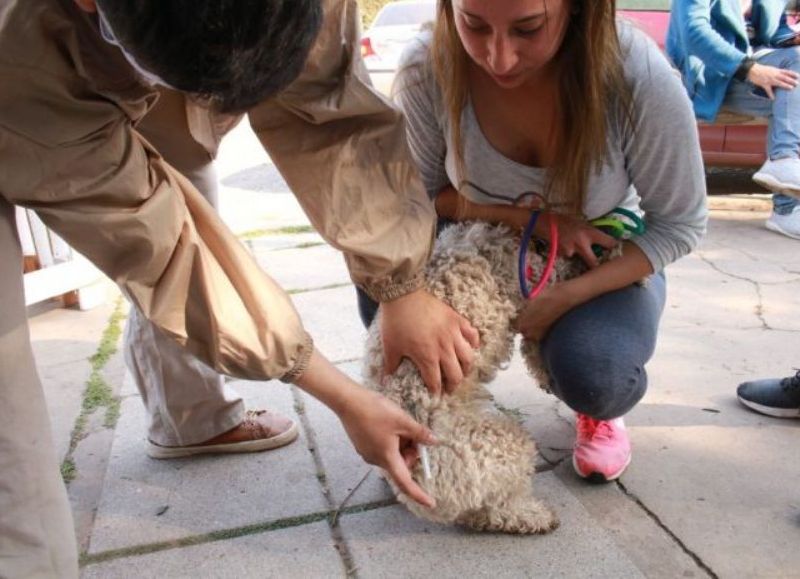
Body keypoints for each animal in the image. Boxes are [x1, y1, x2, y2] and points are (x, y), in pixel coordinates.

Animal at [362, 221, 608, 536]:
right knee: (496, 507)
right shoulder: (531, 306)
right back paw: (533, 516)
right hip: (504, 445)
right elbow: (534, 347)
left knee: (476, 513)